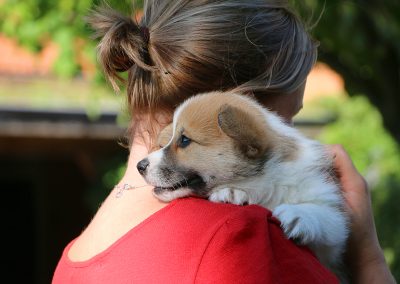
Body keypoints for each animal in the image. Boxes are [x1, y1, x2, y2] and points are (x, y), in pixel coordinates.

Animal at [138, 91, 350, 280]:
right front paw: (230, 192)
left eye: (184, 140)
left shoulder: (332, 235)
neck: (266, 180)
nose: (139, 166)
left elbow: (327, 218)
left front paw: (298, 215)